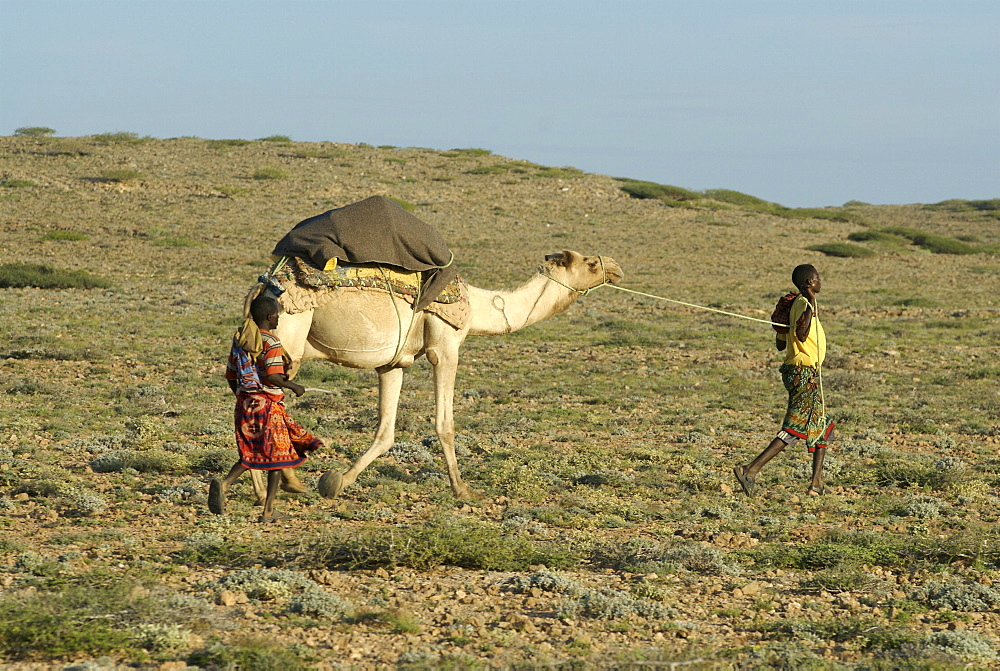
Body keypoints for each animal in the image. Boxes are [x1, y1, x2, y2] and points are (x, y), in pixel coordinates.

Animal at [254, 249, 620, 502]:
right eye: (590, 263)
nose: (616, 267)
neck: (478, 306)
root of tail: (265, 287)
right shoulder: (445, 346)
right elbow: (445, 423)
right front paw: (463, 490)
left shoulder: (394, 362)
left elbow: (386, 432)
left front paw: (338, 481)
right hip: (288, 338)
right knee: (263, 403)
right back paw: (274, 486)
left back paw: (277, 484)